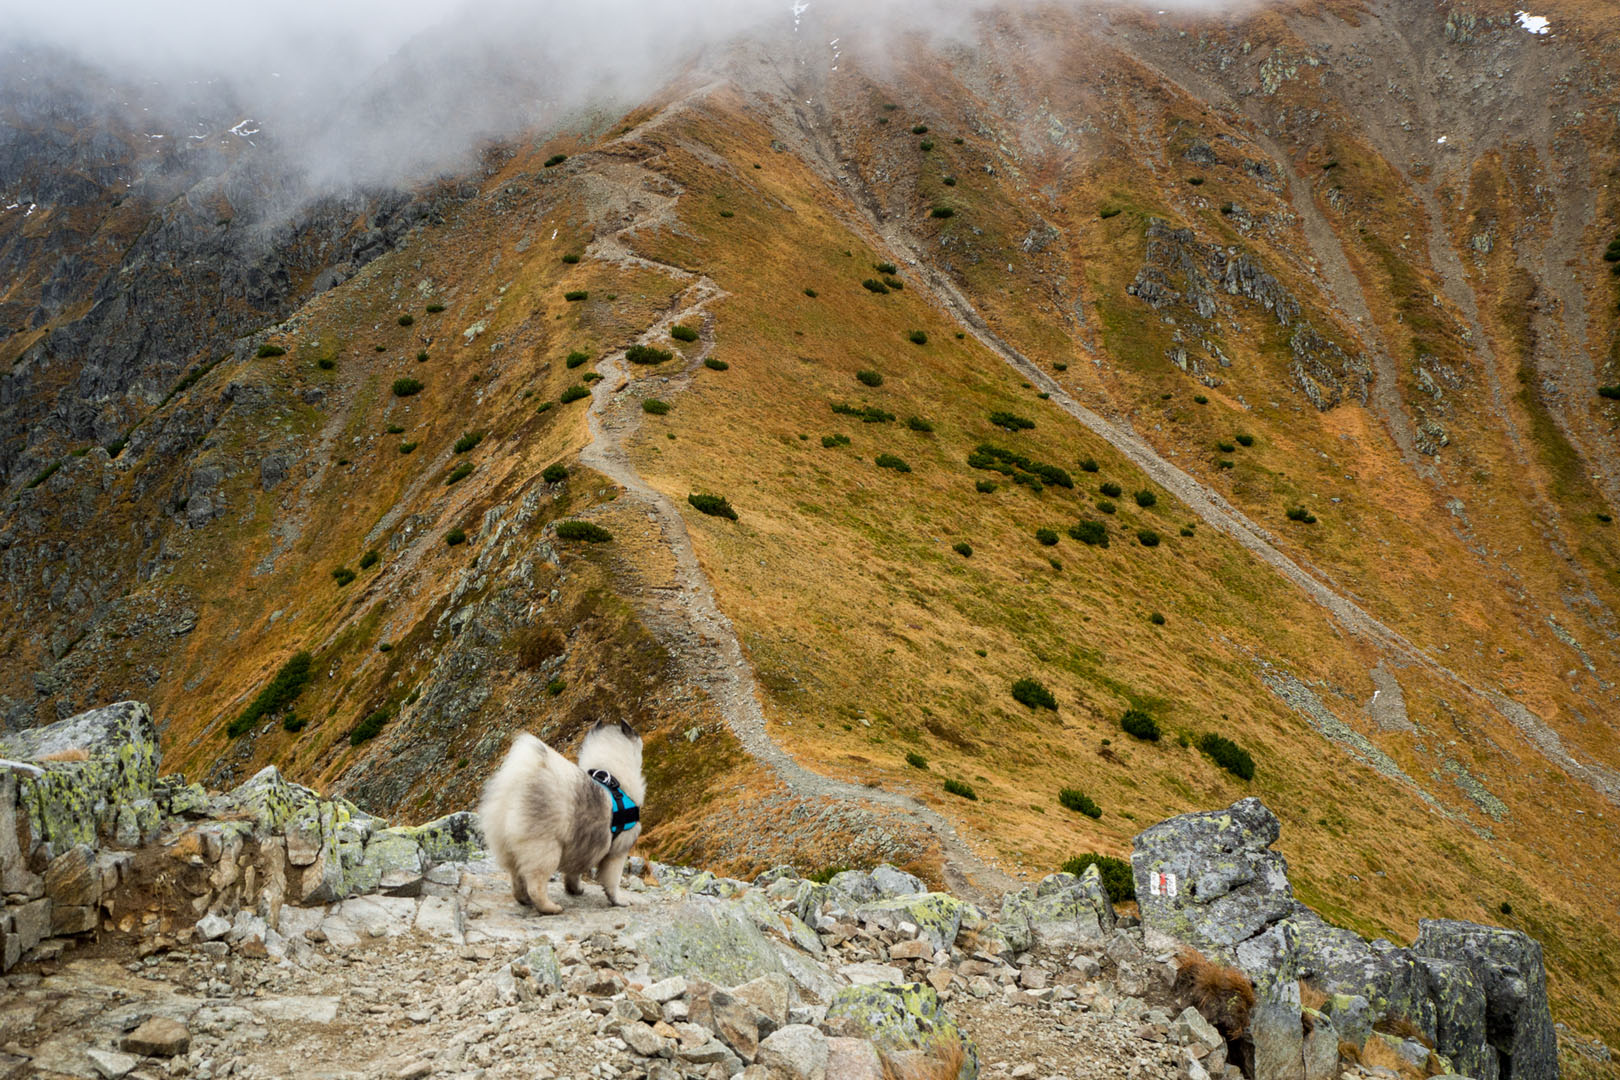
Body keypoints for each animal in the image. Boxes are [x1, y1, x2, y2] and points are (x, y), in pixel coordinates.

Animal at [476, 718, 641, 913]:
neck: (611, 774)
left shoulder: (581, 846)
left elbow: (573, 873)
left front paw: (574, 889)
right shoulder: (618, 852)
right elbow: (612, 881)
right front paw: (618, 900)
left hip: (510, 848)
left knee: (517, 880)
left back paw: (525, 900)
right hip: (545, 849)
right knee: (535, 885)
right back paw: (551, 908)